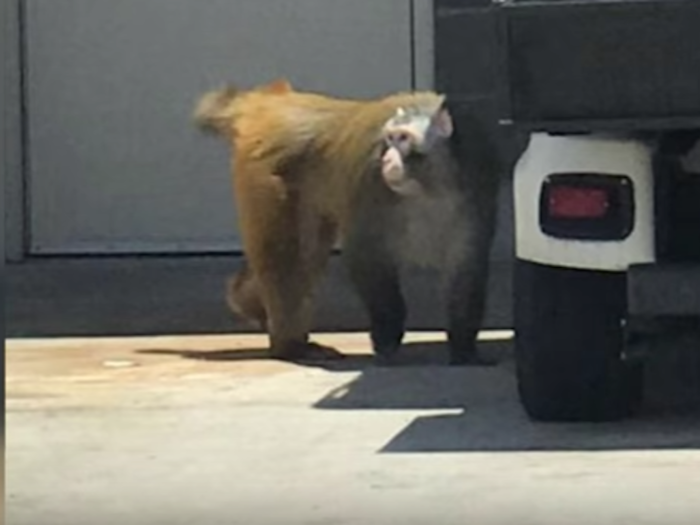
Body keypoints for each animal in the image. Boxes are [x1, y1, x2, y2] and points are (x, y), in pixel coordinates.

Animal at [194, 79, 500, 364]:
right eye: (389, 139)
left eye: (403, 138)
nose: (388, 159)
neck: (427, 186)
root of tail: (271, 103)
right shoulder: (370, 182)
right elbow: (366, 256)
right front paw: (387, 336)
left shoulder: (477, 183)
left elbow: (467, 266)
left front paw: (464, 348)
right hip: (266, 175)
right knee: (288, 261)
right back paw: (289, 346)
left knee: (305, 257)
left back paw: (252, 308)